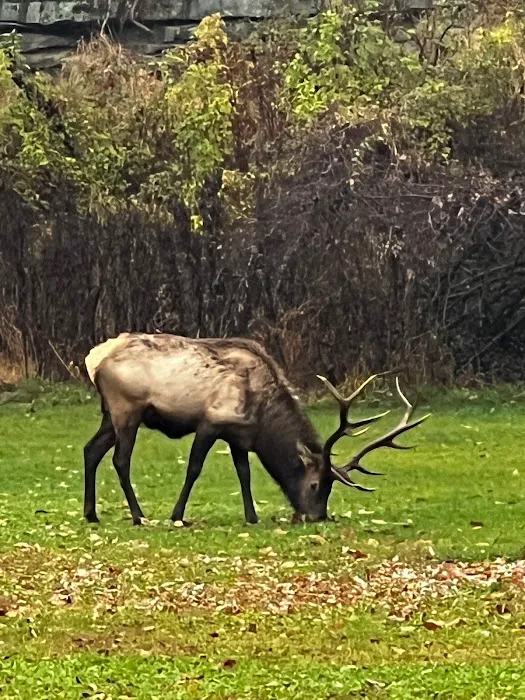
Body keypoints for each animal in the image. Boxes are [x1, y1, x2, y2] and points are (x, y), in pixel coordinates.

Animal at [82, 332, 430, 526]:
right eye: (316, 485)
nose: (316, 516)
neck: (262, 418)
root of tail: (94, 359)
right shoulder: (211, 422)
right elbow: (194, 468)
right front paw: (177, 514)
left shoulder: (238, 435)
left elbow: (244, 473)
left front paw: (251, 517)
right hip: (127, 409)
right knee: (120, 460)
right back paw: (139, 516)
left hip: (109, 415)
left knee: (91, 450)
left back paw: (91, 514)